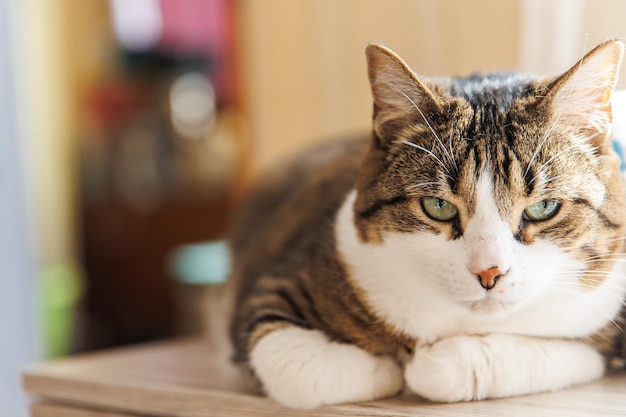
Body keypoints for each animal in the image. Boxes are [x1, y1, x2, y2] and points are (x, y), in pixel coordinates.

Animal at [227, 40, 624, 408]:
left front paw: (424, 365)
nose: (489, 272)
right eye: (438, 206)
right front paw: (386, 366)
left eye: (543, 207)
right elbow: (301, 369)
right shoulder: (276, 283)